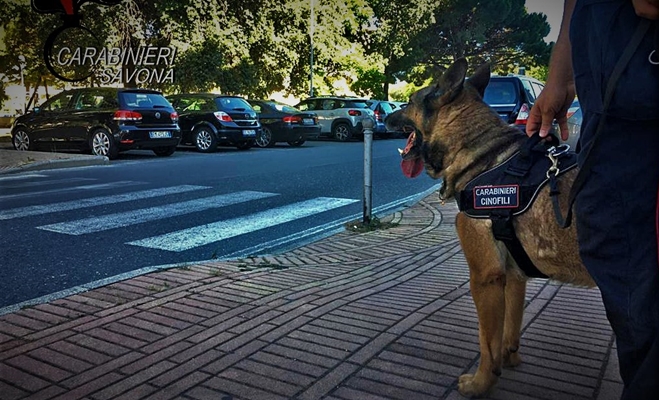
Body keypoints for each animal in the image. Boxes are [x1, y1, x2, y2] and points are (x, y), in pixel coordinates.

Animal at [386, 58, 600, 396]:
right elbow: (508, 328)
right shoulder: (512, 275)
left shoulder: (484, 278)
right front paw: (508, 360)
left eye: (408, 102)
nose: (383, 113)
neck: (479, 152)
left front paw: (481, 383)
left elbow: (486, 341)